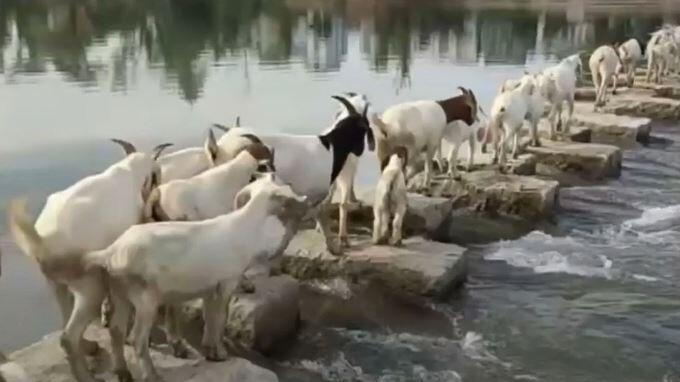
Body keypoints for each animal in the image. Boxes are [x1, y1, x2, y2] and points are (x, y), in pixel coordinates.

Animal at [6, 140, 171, 382]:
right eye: (157, 173)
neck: (130, 171)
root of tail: (44, 242)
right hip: (89, 284)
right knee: (68, 335)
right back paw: (87, 374)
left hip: (56, 282)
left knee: (65, 315)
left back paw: (89, 347)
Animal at [82, 175, 308, 382]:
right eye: (285, 195)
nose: (304, 204)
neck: (242, 228)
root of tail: (111, 252)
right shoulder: (227, 283)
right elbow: (220, 319)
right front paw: (221, 354)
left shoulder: (210, 289)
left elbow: (210, 318)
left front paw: (210, 351)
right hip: (144, 299)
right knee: (137, 339)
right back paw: (151, 375)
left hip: (119, 293)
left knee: (116, 332)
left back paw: (123, 373)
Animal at [218, 95, 374, 254]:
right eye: (364, 127)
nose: (360, 151)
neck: (331, 148)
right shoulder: (313, 194)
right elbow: (317, 215)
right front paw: (333, 247)